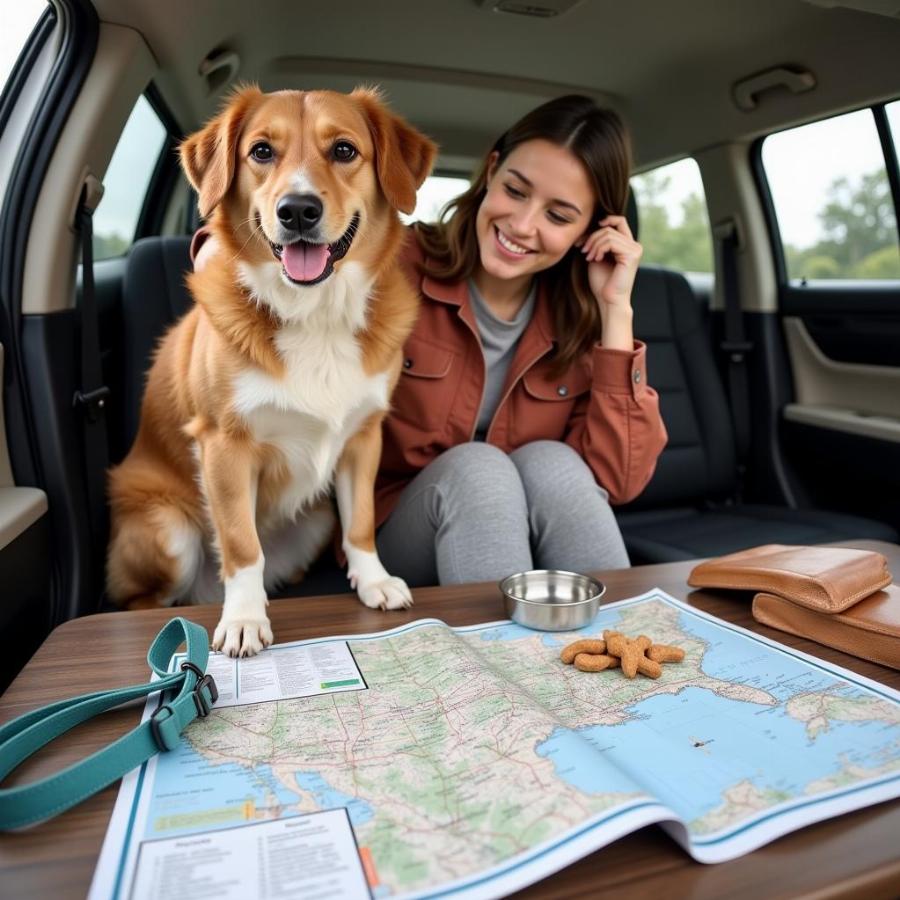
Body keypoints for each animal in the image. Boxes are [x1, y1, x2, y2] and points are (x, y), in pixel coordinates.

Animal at [107, 86, 438, 652]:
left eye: (344, 150)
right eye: (261, 152)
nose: (298, 210)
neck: (315, 314)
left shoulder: (363, 437)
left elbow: (361, 523)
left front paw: (373, 581)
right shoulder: (223, 445)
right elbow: (242, 544)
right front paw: (243, 617)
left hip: (314, 522)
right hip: (169, 532)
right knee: (143, 600)